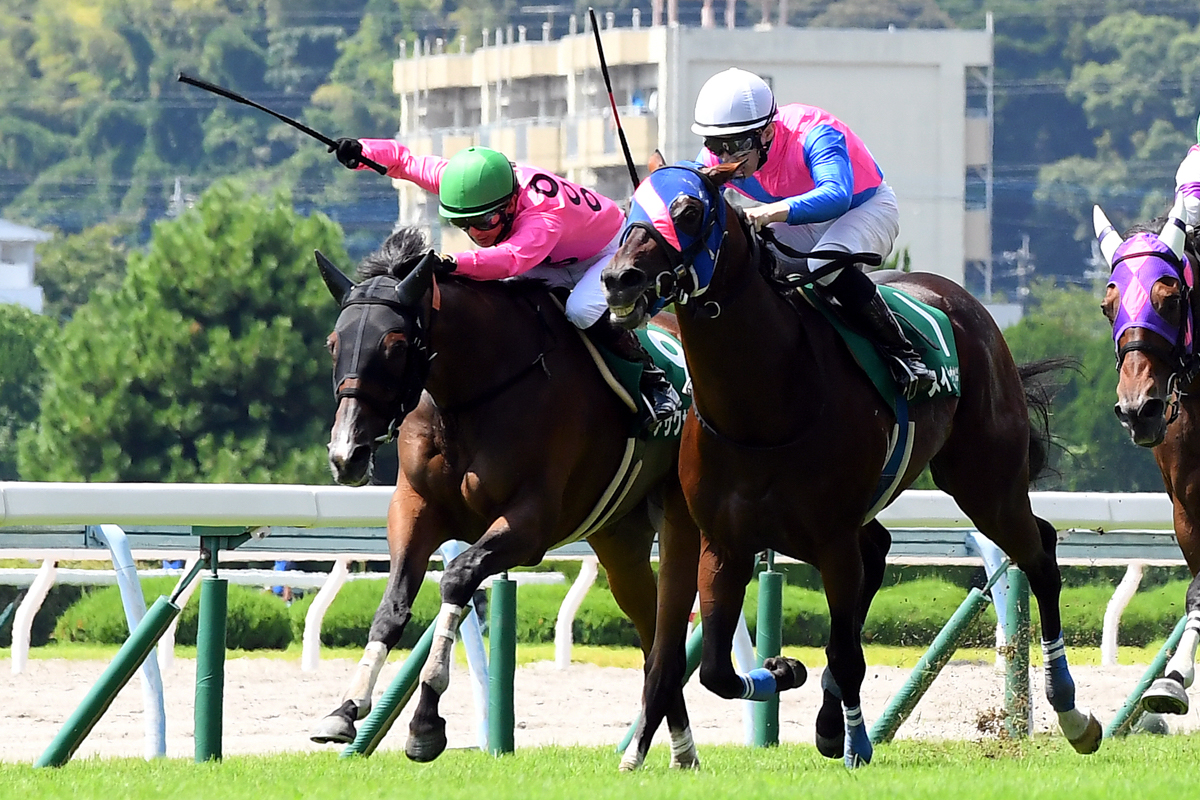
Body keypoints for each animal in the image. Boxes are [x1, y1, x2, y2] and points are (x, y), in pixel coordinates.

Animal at [312, 225, 700, 767]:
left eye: (394, 343)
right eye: (334, 342)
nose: (347, 453)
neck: (473, 392)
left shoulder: (529, 525)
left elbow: (457, 579)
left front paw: (425, 724)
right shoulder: (414, 508)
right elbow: (393, 605)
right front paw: (345, 710)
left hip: (682, 519)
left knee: (668, 629)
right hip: (619, 538)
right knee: (651, 632)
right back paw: (680, 749)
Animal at [604, 154, 1099, 767]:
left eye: (688, 209)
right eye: (631, 206)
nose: (618, 278)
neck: (762, 409)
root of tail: (966, 304)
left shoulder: (832, 540)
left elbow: (845, 654)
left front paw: (857, 741)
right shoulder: (724, 543)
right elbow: (717, 669)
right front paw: (783, 670)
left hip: (986, 483)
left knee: (1040, 555)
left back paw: (1073, 712)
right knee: (882, 550)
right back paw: (824, 718)